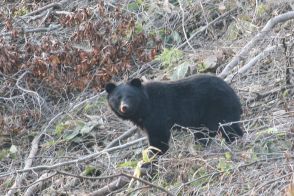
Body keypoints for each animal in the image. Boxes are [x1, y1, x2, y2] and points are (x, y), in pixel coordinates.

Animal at [105, 75, 243, 155]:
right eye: (118, 98)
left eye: (130, 96)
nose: (124, 107)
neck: (144, 108)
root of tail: (233, 94)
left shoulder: (157, 114)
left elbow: (158, 136)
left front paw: (154, 153)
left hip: (217, 108)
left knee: (225, 127)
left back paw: (232, 140)